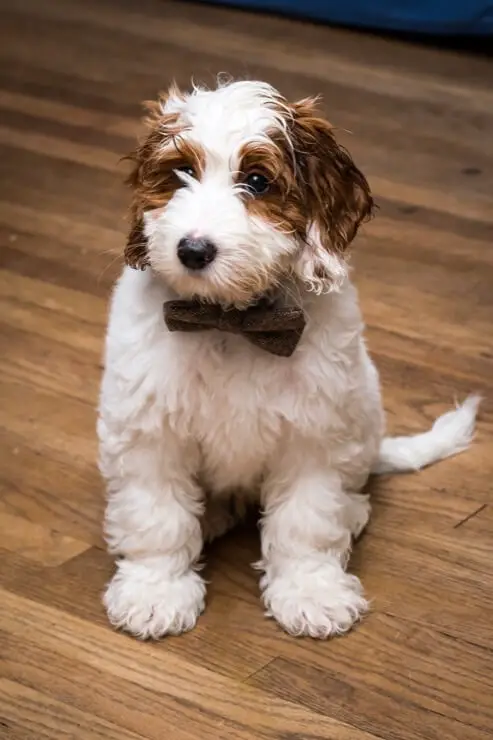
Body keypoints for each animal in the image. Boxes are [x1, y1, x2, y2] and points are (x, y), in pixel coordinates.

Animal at [98, 78, 478, 640]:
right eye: (180, 173)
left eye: (257, 181)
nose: (193, 250)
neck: (231, 322)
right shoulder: (149, 430)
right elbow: (156, 516)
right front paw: (155, 591)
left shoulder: (314, 434)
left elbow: (306, 520)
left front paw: (311, 592)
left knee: (350, 487)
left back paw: (352, 511)